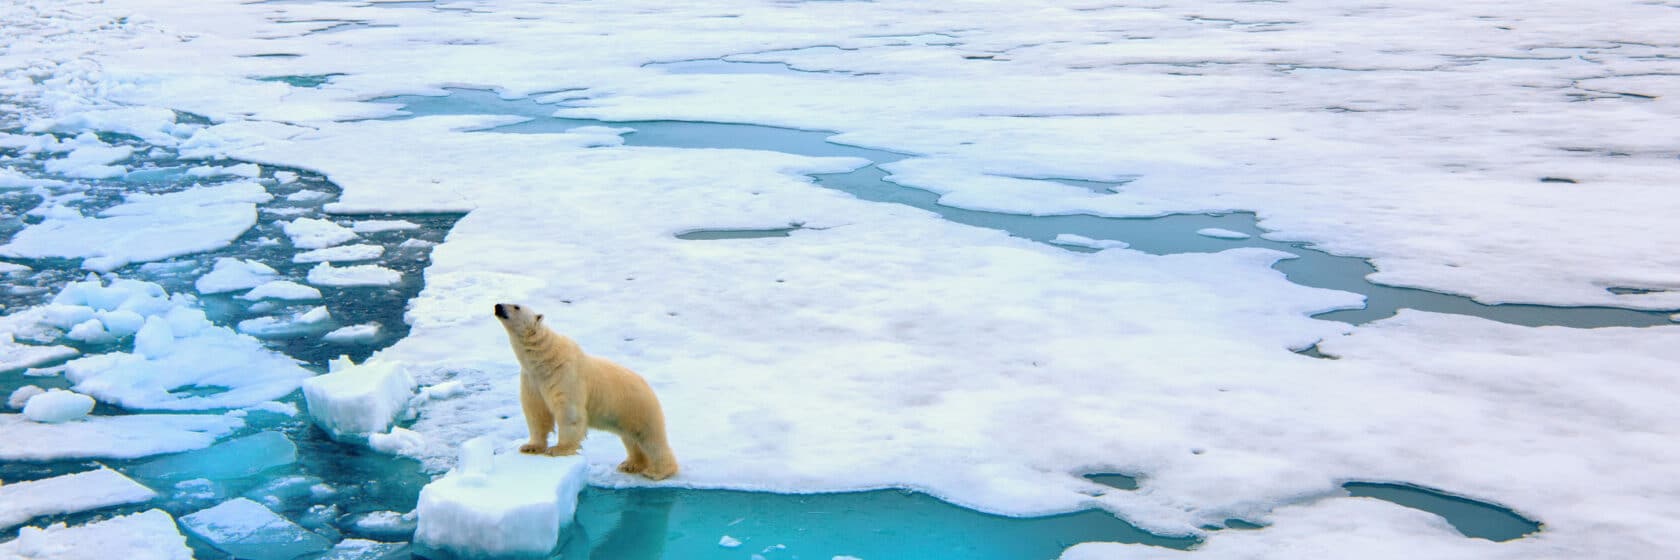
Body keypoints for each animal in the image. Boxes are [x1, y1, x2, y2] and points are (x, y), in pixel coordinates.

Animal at [493, 302, 678, 477]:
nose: (498, 306)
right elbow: (536, 412)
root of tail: (648, 387)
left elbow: (569, 412)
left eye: (516, 306)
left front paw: (558, 449)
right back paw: (630, 465)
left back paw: (658, 471)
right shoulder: (532, 380)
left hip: (638, 408)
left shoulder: (565, 374)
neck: (544, 359)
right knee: (631, 439)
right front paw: (530, 447)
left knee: (649, 438)